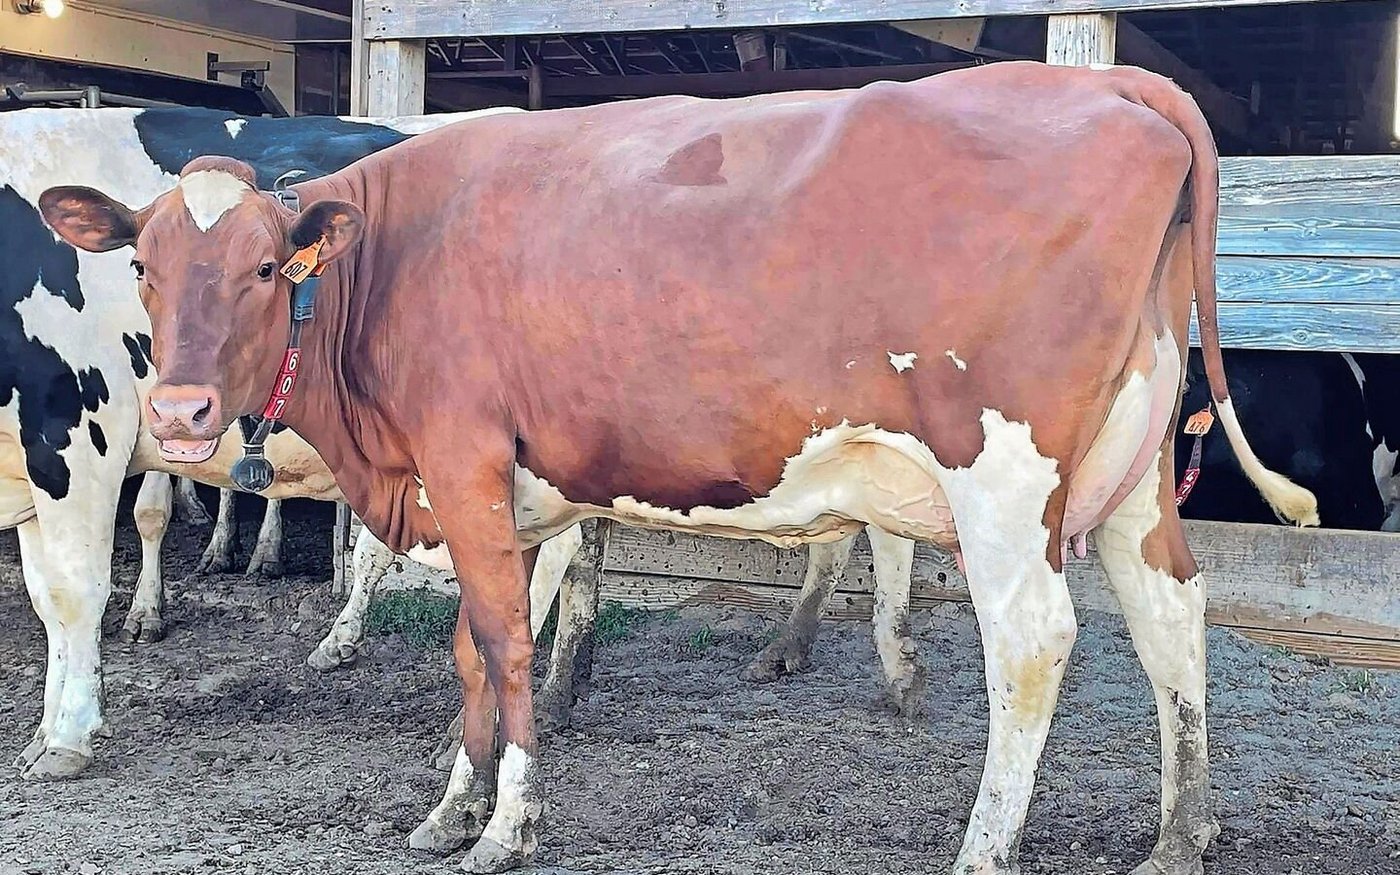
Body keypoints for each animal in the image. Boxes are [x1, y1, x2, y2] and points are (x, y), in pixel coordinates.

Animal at [43, 61, 1320, 875]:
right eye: (146, 268)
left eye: (265, 268)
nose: (180, 408)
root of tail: (1112, 83)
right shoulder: (513, 493)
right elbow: (474, 649)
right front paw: (450, 807)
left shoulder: (462, 459)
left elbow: (505, 645)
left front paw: (505, 826)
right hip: (1133, 468)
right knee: (1169, 610)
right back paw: (1179, 833)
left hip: (1002, 467)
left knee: (1032, 640)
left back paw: (983, 845)